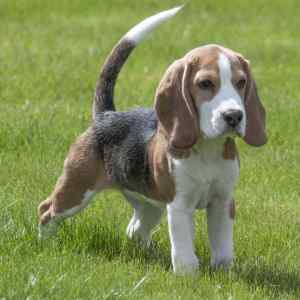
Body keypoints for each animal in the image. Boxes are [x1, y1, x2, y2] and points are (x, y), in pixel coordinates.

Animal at [38, 6, 268, 274]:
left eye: (241, 82)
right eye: (205, 83)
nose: (234, 116)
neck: (207, 150)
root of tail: (106, 115)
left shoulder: (223, 202)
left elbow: (222, 247)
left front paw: (223, 271)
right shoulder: (179, 205)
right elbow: (184, 249)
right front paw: (188, 275)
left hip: (150, 206)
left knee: (134, 230)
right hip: (76, 189)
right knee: (47, 210)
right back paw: (45, 242)